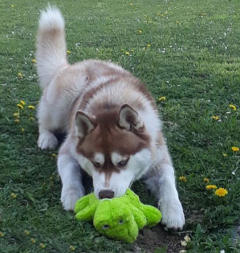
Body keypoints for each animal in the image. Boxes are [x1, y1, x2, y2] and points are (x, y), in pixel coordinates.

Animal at [36, 6, 186, 229]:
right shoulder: (69, 150)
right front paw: (72, 195)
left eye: (123, 162)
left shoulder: (159, 156)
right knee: (43, 118)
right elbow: (70, 173)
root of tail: (72, 65)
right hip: (63, 97)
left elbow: (168, 181)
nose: (106, 194)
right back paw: (46, 137)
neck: (112, 103)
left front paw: (174, 211)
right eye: (96, 163)